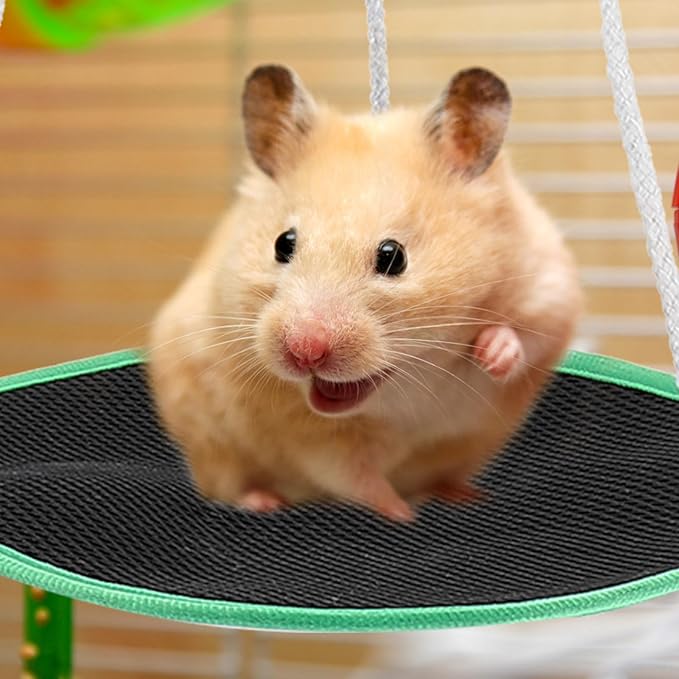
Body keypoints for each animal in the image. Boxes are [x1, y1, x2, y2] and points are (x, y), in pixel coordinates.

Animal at [147, 64, 582, 522]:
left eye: (393, 257)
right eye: (283, 243)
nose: (304, 352)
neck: (413, 377)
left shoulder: (550, 290)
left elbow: (526, 336)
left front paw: (491, 353)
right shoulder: (319, 440)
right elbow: (357, 478)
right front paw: (403, 515)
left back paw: (463, 493)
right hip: (212, 448)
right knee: (227, 486)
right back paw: (265, 501)